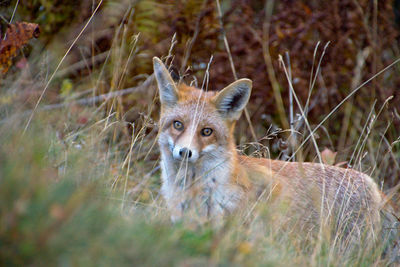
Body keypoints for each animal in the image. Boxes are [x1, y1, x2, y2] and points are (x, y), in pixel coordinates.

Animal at [152, 56, 396, 255]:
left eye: (206, 132)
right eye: (178, 125)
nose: (185, 152)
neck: (192, 190)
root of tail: (374, 186)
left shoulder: (271, 192)